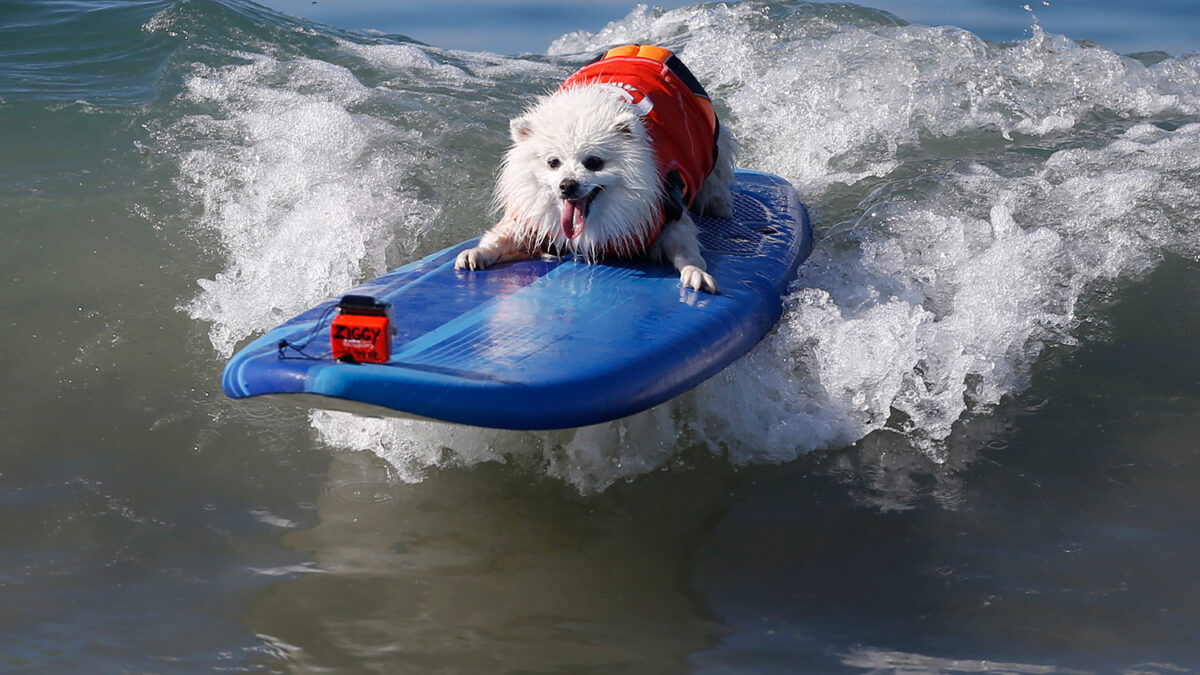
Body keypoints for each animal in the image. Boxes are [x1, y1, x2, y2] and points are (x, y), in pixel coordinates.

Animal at [453, 44, 734, 291]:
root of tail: (643, 49)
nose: (567, 185)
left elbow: (686, 250)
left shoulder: (666, 212)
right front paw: (476, 253)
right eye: (553, 163)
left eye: (593, 162)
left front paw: (696, 273)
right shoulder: (534, 220)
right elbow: (499, 236)